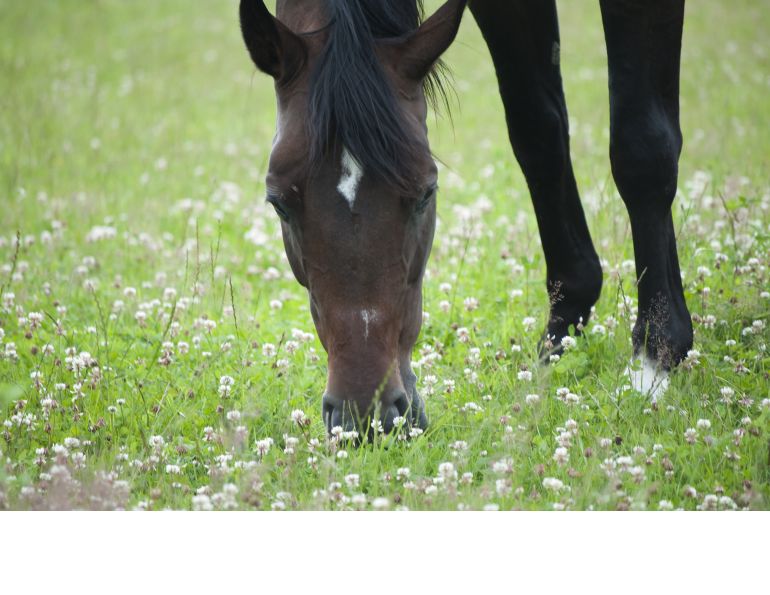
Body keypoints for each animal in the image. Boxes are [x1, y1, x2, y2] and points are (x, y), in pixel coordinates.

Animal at [238, 0, 693, 435]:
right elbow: (538, 134)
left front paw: (654, 359)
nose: (366, 419)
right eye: (278, 203)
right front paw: (562, 332)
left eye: (426, 193)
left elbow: (642, 148)